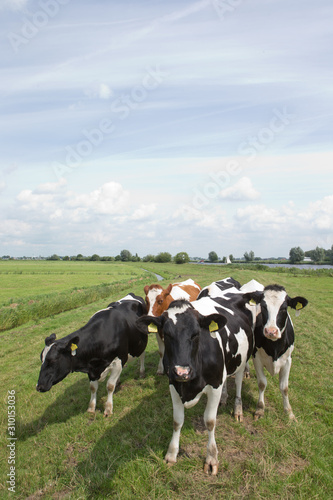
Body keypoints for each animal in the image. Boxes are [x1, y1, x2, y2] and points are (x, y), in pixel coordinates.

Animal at [136, 288, 253, 474]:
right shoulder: (174, 384)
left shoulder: (214, 384)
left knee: (239, 381)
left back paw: (238, 409)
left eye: (196, 334)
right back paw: (224, 398)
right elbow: (177, 421)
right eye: (166, 334)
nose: (182, 372)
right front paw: (171, 454)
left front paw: (211, 458)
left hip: (241, 359)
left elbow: (210, 422)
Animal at [243, 284, 308, 420]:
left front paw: (289, 412)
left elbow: (284, 387)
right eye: (263, 306)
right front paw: (260, 409)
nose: (271, 331)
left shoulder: (288, 360)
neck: (274, 348)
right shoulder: (257, 358)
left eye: (284, 308)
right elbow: (262, 383)